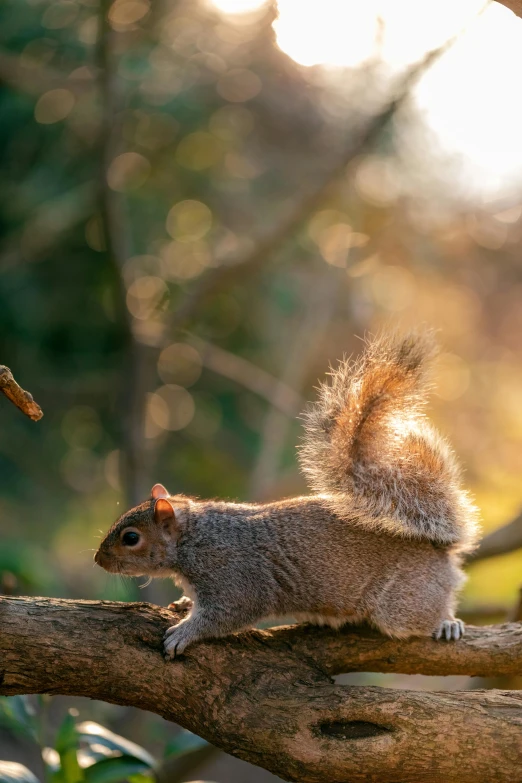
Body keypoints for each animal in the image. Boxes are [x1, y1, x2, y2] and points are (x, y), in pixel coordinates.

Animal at [94, 328, 480, 660]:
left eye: (131, 538)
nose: (98, 560)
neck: (194, 538)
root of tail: (439, 552)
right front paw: (185, 604)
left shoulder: (233, 575)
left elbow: (226, 614)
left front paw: (184, 633)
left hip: (401, 601)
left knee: (421, 614)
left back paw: (446, 624)